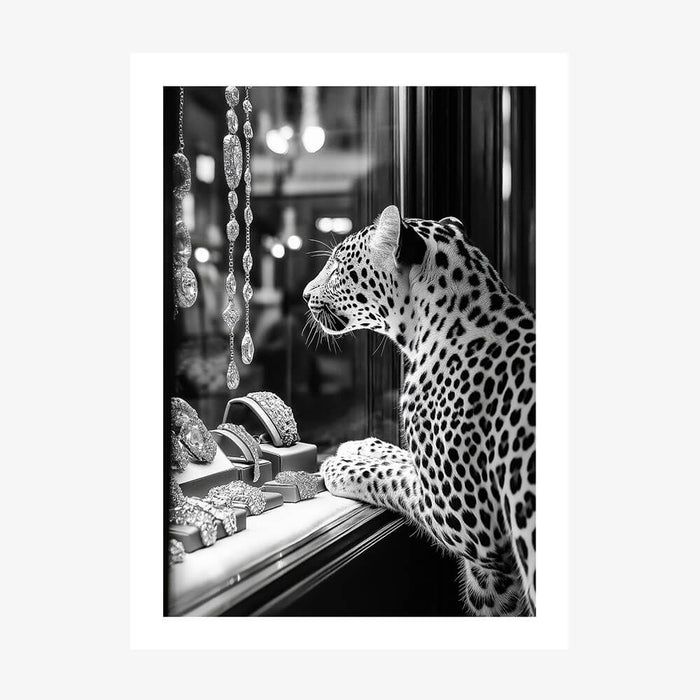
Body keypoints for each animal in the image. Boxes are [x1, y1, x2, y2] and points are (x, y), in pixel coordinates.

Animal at [303, 205, 536, 616]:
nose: (304, 295)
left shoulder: (467, 522)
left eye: (337, 267)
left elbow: (389, 476)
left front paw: (340, 465)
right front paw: (362, 446)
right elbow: (402, 457)